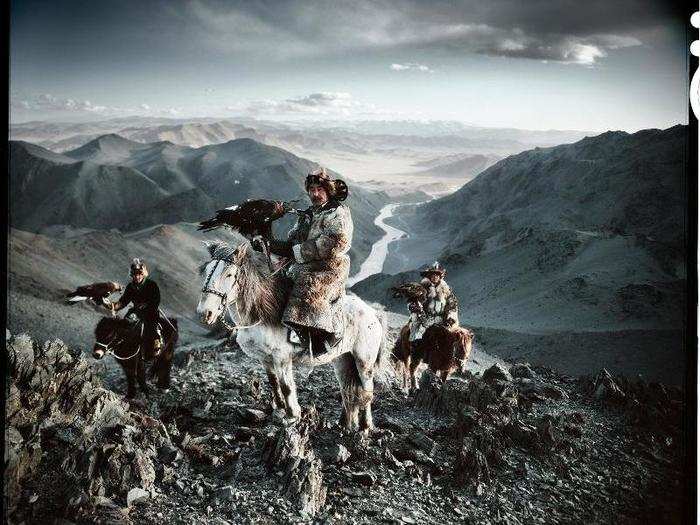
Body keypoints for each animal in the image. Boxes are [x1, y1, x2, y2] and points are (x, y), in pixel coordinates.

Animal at [194, 239, 386, 432]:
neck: (261, 315)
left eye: (229, 274)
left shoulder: (282, 358)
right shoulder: (265, 359)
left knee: (367, 388)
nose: (205, 313)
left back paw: (365, 426)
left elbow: (286, 386)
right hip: (342, 359)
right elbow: (273, 383)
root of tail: (373, 313)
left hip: (364, 361)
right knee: (346, 387)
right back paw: (344, 424)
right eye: (207, 270)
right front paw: (279, 410)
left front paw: (292, 416)